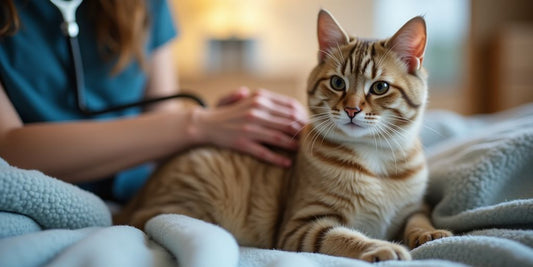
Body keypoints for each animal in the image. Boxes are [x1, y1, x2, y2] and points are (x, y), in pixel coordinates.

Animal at [115, 9, 448, 262]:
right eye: (337, 83)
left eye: (379, 87)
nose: (351, 109)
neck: (376, 160)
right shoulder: (301, 226)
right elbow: (344, 237)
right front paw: (383, 247)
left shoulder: (412, 208)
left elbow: (419, 218)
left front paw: (429, 233)